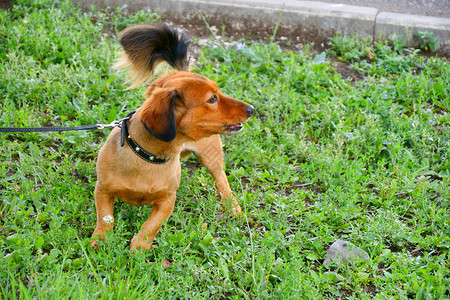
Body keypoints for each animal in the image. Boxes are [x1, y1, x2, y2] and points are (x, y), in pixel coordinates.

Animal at [91, 23, 253, 251]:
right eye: (212, 99)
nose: (251, 109)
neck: (146, 157)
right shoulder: (103, 190)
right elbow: (105, 218)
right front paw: (100, 240)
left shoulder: (167, 200)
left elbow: (151, 225)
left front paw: (139, 248)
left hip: (210, 155)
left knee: (221, 179)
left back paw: (233, 207)